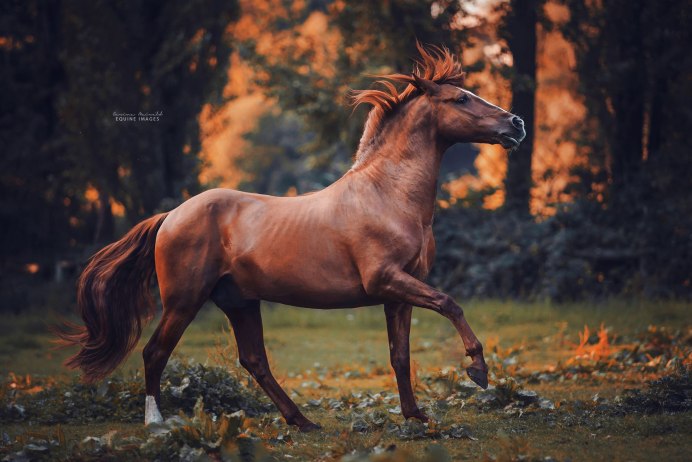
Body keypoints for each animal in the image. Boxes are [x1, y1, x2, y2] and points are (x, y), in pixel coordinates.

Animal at [58, 44, 526, 431]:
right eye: (460, 99)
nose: (516, 123)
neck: (387, 196)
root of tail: (171, 215)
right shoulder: (386, 280)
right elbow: (450, 303)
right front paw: (478, 371)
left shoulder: (399, 294)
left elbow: (400, 355)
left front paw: (415, 415)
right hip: (184, 300)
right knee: (156, 353)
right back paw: (156, 422)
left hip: (239, 301)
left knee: (254, 361)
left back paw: (302, 421)